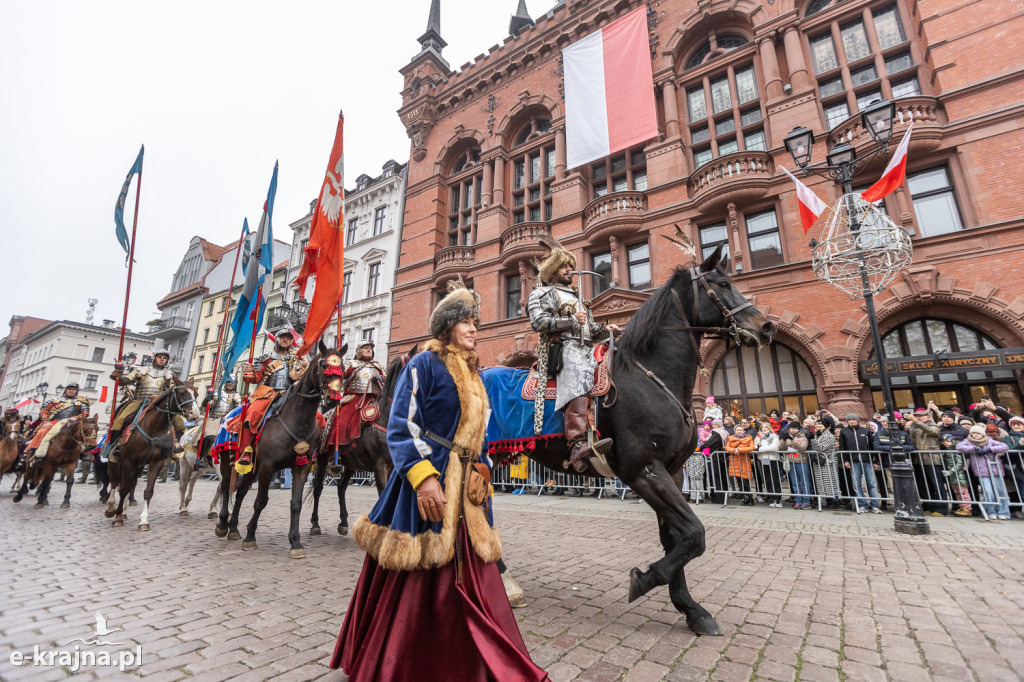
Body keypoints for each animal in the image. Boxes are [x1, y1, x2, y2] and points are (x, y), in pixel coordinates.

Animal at [104, 382, 199, 524]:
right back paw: (111, 508)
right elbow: (123, 489)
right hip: (115, 460)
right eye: (182, 393)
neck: (153, 429)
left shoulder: (156, 462)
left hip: (139, 466)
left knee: (130, 483)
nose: (195, 414)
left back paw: (124, 511)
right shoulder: (128, 461)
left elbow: (147, 491)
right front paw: (118, 517)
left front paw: (143, 521)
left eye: (196, 394)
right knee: (115, 481)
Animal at [216, 342, 344, 557]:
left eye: (342, 368)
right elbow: (261, 500)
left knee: (241, 492)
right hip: (228, 460)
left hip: (252, 468)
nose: (333, 398)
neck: (296, 418)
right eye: (324, 366)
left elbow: (296, 503)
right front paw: (250, 536)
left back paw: (233, 528)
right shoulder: (268, 467)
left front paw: (295, 543)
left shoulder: (301, 467)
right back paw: (223, 524)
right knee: (226, 486)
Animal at [305, 342, 417, 532]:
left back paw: (343, 523)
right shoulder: (381, 466)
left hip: (350, 465)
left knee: (341, 488)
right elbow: (382, 494)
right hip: (322, 459)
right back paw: (314, 523)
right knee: (318, 488)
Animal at [491, 245, 770, 630]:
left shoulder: (672, 471)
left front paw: (690, 608)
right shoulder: (643, 470)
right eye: (723, 284)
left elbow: (676, 538)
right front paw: (645, 580)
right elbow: (694, 534)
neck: (651, 376)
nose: (766, 326)